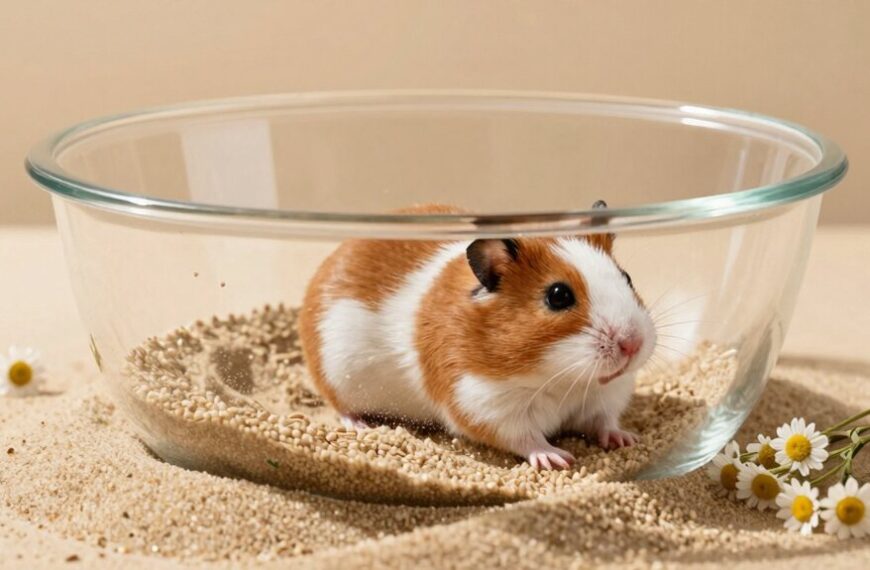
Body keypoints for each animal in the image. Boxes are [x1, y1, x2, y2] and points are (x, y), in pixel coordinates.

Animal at [298, 203, 656, 469]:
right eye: (558, 296)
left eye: (627, 278)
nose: (633, 344)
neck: (562, 378)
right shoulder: (484, 404)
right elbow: (526, 438)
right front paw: (558, 459)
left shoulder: (605, 397)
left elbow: (604, 421)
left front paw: (627, 439)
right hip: (337, 375)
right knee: (340, 406)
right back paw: (362, 426)